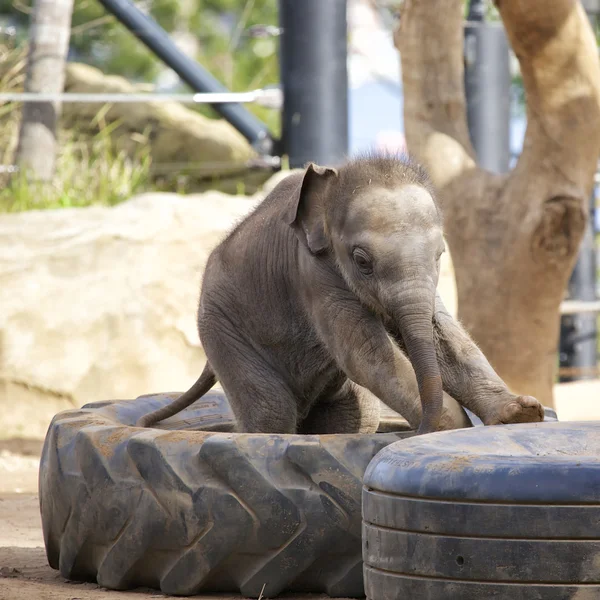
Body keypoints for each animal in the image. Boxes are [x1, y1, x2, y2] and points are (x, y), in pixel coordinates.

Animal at [138, 154, 548, 436]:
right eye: (362, 261)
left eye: (439, 256)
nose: (423, 427)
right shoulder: (312, 274)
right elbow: (366, 354)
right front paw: (454, 427)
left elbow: (446, 338)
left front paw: (521, 412)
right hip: (221, 331)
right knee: (271, 413)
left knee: (356, 415)